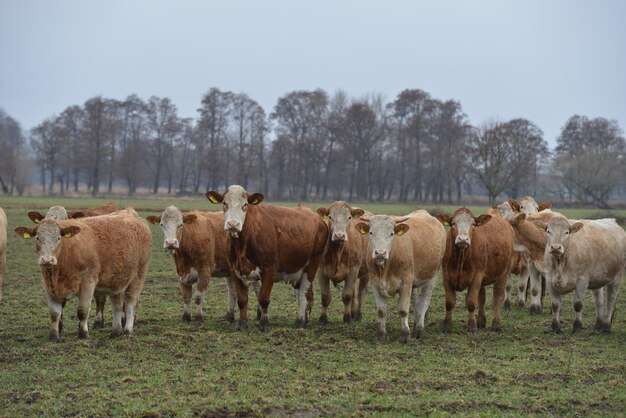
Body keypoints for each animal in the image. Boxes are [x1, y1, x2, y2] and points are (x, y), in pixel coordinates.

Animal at [14, 207, 151, 342]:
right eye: (38, 237)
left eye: (58, 238)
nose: (47, 260)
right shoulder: (47, 286)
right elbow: (54, 313)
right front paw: (53, 336)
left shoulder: (88, 283)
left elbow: (82, 311)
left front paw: (83, 334)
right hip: (117, 280)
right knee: (117, 304)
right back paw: (116, 332)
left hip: (139, 275)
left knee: (130, 302)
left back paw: (127, 330)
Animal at [207, 185, 330, 332]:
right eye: (224, 203)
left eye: (245, 204)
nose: (233, 224)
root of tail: (317, 217)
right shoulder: (234, 270)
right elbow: (242, 299)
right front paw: (242, 324)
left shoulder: (269, 269)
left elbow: (264, 299)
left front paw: (264, 323)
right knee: (306, 294)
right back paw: (304, 320)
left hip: (312, 265)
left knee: (303, 294)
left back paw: (299, 321)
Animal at [354, 209, 446, 342]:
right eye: (371, 232)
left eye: (391, 233)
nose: (380, 253)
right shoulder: (375, 283)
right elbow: (381, 311)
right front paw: (380, 335)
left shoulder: (405, 283)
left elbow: (403, 310)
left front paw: (405, 335)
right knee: (415, 301)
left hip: (433, 276)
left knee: (424, 301)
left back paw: (418, 329)